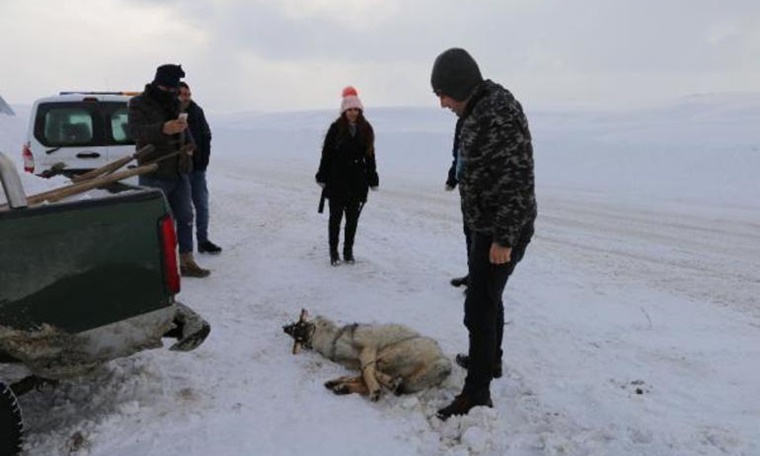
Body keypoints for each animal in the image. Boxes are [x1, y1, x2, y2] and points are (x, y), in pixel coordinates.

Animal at [284, 308, 452, 400]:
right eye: (294, 328)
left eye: (300, 324)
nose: (284, 328)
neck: (335, 339)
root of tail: (443, 361)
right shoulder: (357, 360)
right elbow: (365, 374)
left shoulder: (368, 349)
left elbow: (368, 373)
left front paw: (375, 389)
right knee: (366, 376)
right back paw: (340, 385)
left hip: (389, 352)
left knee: (374, 373)